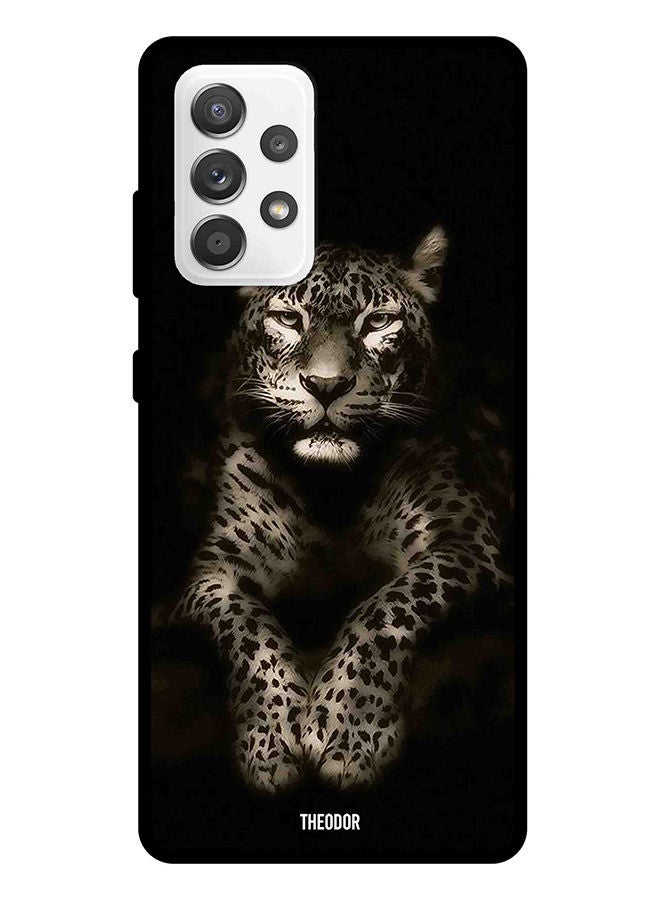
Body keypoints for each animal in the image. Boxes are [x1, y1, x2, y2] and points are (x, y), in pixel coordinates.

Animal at [172, 227, 512, 793]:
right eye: (289, 319)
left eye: (377, 322)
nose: (326, 386)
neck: (329, 491)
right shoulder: (212, 573)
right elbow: (249, 631)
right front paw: (271, 741)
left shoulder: (467, 539)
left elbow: (386, 607)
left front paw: (349, 730)